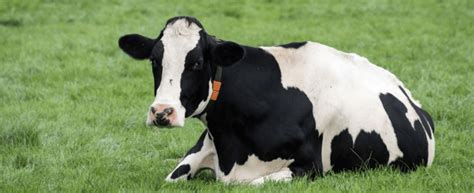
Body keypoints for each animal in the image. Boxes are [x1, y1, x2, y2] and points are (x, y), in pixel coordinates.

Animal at [117, 16, 434, 184]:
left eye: (196, 63)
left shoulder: (308, 167)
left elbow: (253, 183)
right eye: (154, 61)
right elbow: (171, 177)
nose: (162, 112)